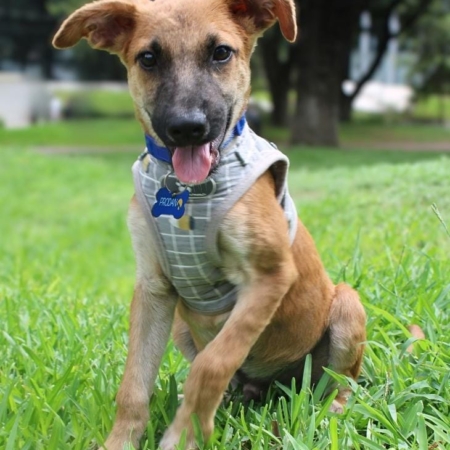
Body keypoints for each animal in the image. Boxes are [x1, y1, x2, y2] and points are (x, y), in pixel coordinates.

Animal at [53, 0, 366, 449]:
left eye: (221, 53)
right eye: (148, 58)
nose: (187, 128)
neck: (186, 189)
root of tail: (272, 386)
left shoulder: (270, 277)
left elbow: (213, 364)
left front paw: (184, 435)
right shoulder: (153, 288)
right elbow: (134, 385)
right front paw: (122, 441)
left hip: (346, 304)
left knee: (340, 382)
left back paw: (332, 410)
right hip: (182, 329)